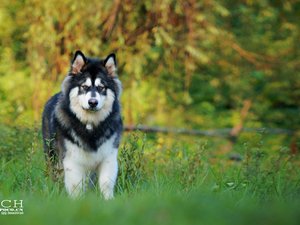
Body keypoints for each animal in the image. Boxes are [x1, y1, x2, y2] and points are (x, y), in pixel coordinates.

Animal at [41, 50, 122, 199]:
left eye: (101, 87)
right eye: (84, 86)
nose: (93, 102)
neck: (90, 125)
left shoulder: (108, 157)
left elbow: (106, 183)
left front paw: (108, 200)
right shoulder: (71, 160)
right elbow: (76, 186)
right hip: (51, 155)